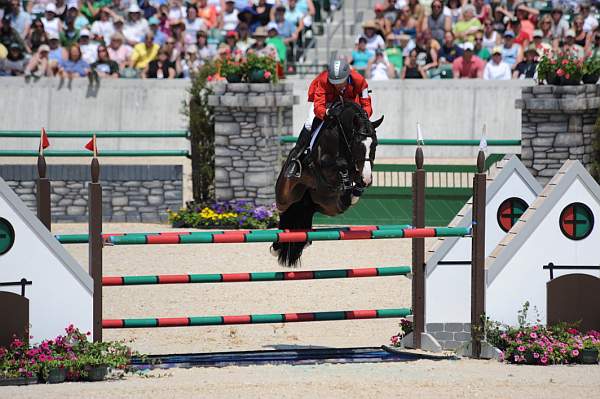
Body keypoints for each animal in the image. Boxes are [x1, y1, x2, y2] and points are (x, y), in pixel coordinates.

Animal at [274, 101, 384, 268]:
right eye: (357, 144)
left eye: (375, 145)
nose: (366, 179)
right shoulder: (323, 164)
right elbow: (340, 163)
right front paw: (347, 177)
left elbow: (353, 174)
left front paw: (355, 186)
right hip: (285, 195)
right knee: (284, 208)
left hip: (328, 205)